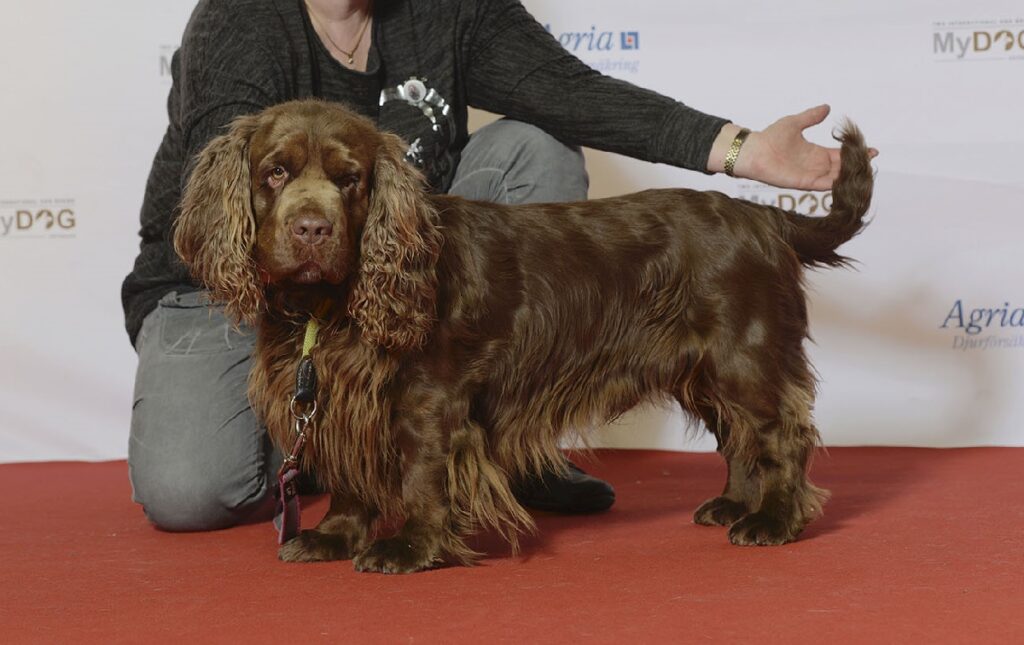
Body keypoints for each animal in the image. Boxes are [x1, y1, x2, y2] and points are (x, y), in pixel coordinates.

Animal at [174, 98, 872, 573]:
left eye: (351, 181)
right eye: (274, 173)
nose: (312, 230)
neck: (331, 304)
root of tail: (763, 217)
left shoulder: (428, 400)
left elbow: (420, 475)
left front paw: (410, 546)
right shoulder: (338, 395)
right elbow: (349, 470)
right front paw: (334, 534)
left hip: (743, 357)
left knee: (779, 435)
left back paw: (774, 520)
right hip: (704, 368)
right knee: (739, 438)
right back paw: (735, 506)